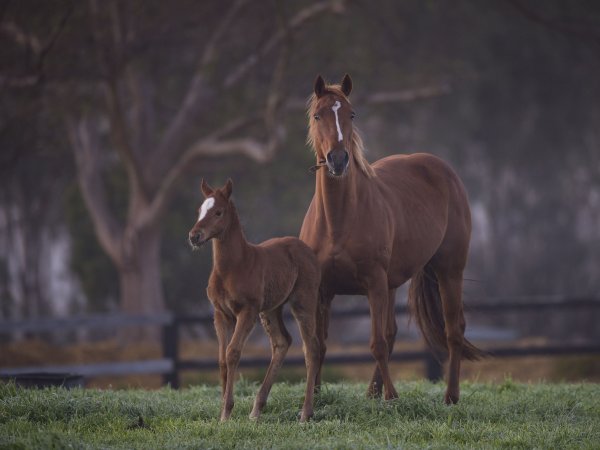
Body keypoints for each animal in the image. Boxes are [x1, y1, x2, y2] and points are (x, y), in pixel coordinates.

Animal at [189, 179, 322, 422]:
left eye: (218, 212)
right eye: (199, 210)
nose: (194, 236)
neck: (232, 267)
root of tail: (307, 250)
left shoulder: (247, 311)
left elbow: (233, 352)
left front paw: (226, 412)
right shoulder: (220, 314)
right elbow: (222, 358)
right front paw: (222, 410)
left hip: (303, 301)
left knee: (311, 348)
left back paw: (305, 413)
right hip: (270, 310)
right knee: (282, 341)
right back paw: (256, 410)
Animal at [300, 74, 482, 404]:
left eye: (352, 114)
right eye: (318, 115)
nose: (338, 160)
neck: (337, 221)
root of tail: (441, 168)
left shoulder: (374, 283)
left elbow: (377, 343)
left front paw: (393, 396)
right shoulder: (323, 291)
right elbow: (318, 345)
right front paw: (315, 396)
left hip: (449, 270)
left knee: (453, 330)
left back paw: (450, 396)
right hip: (393, 283)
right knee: (395, 331)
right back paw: (373, 392)